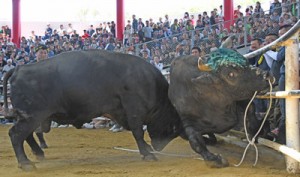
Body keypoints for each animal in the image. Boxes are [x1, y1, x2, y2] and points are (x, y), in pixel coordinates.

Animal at [2, 49, 183, 170]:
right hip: (31, 117)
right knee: (16, 134)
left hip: (30, 118)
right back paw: (25, 163)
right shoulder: (133, 110)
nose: (159, 146)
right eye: (174, 126)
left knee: (27, 135)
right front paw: (148, 154)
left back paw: (38, 154)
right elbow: (138, 132)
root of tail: (19, 68)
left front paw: (147, 150)